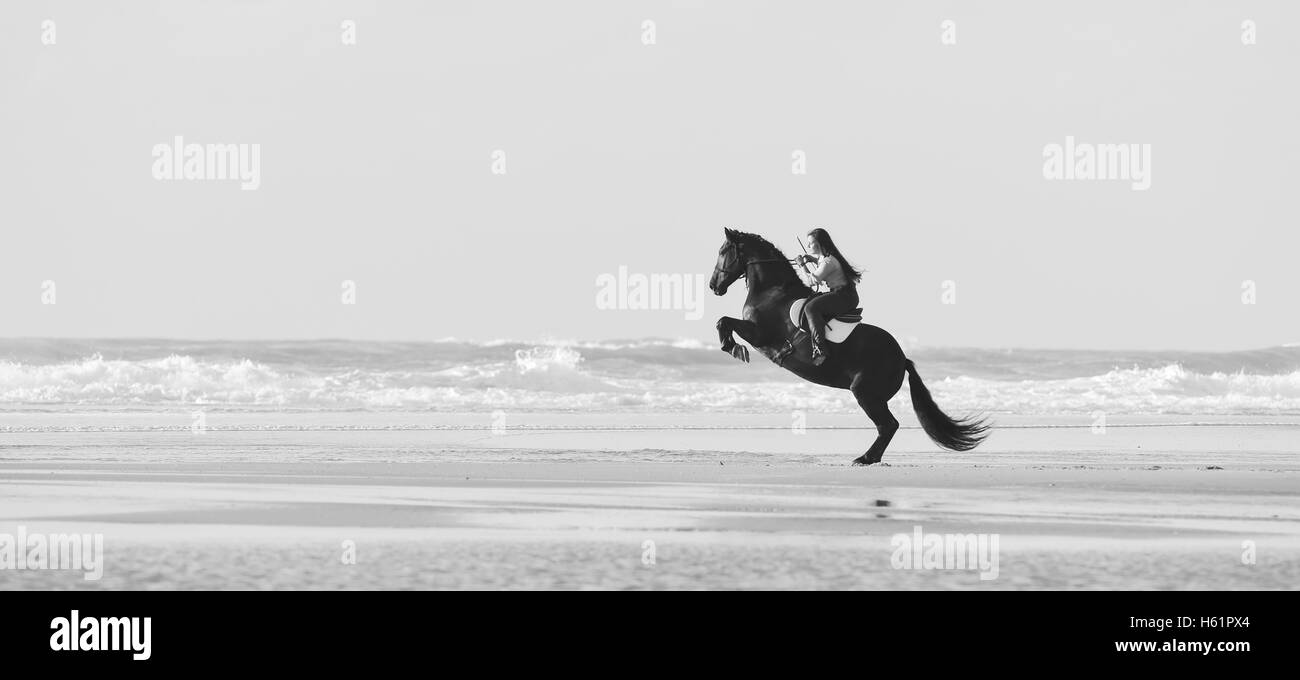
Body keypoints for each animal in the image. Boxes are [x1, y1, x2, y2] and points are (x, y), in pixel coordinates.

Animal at [709, 228, 989, 465]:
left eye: (723, 251)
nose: (713, 286)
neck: (772, 291)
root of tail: (902, 359)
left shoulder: (760, 334)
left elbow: (723, 321)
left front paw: (734, 348)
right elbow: (723, 321)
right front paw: (733, 347)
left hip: (864, 392)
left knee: (888, 425)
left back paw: (865, 458)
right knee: (888, 425)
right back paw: (869, 457)